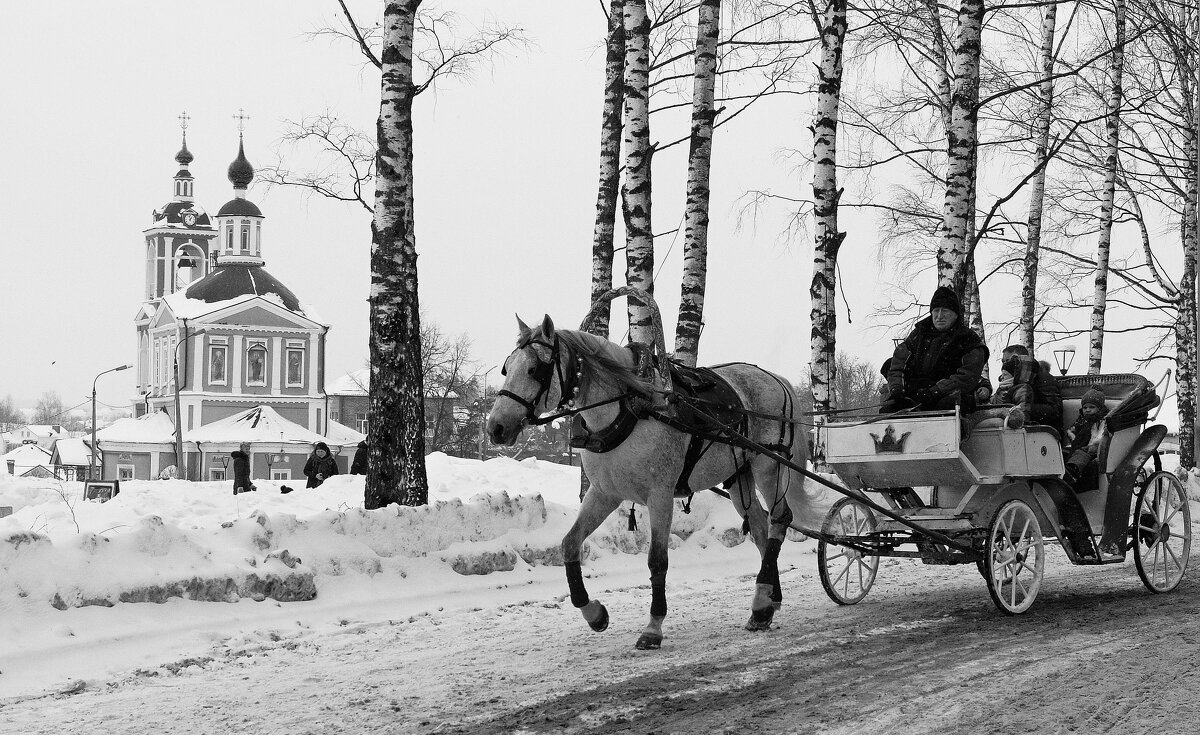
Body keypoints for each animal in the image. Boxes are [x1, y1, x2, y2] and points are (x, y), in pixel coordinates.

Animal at [482, 314, 820, 648]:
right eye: (506, 367)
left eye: (534, 369)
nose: (496, 427)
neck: (629, 408)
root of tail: (776, 379)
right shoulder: (603, 493)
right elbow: (570, 544)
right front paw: (594, 613)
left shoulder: (660, 495)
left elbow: (657, 560)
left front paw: (653, 627)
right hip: (738, 475)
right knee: (761, 528)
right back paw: (766, 602)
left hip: (769, 465)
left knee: (780, 519)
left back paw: (763, 598)